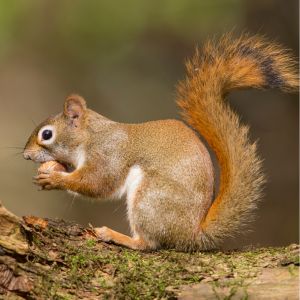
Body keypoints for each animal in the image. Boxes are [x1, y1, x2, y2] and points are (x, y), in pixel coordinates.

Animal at [22, 34, 298, 251]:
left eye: (46, 134)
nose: (26, 155)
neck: (91, 136)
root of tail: (192, 234)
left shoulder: (108, 154)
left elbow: (97, 184)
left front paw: (54, 179)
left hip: (149, 198)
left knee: (148, 243)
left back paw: (116, 236)